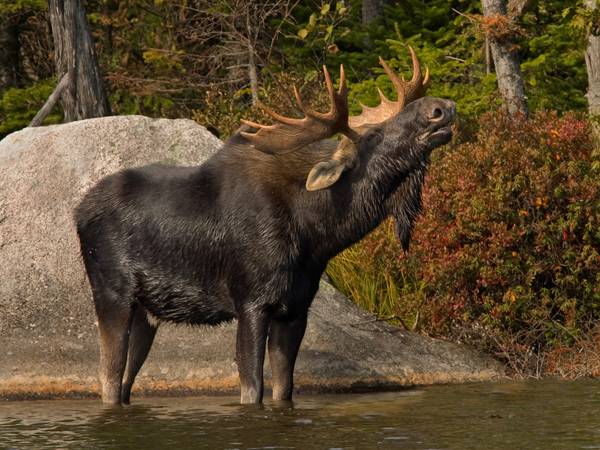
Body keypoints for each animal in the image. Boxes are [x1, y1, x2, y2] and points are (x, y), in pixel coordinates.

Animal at [75, 48, 454, 404]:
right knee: (108, 378)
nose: (441, 106)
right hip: (112, 294)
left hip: (147, 312)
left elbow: (284, 389)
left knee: (125, 381)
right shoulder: (251, 301)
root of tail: (78, 212)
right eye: (374, 134)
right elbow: (252, 387)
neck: (317, 234)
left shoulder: (296, 308)